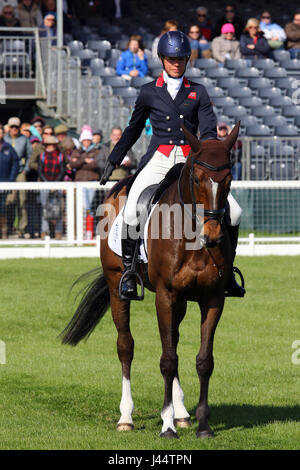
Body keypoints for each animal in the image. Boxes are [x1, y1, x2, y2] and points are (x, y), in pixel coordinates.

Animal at [61, 123, 241, 438]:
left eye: (228, 180)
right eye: (197, 178)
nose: (213, 236)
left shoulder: (212, 298)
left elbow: (203, 360)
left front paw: (202, 425)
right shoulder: (166, 295)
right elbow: (167, 360)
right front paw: (167, 426)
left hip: (181, 301)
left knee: (174, 340)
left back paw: (182, 414)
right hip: (117, 287)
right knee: (126, 346)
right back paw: (126, 417)